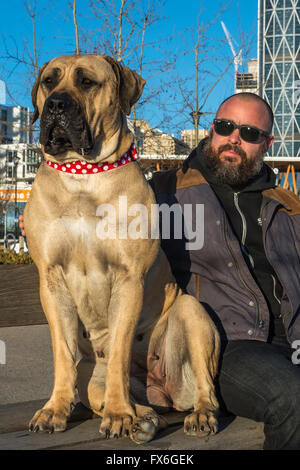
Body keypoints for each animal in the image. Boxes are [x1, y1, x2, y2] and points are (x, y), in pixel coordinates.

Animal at [24, 55, 220, 444]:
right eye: (49, 81)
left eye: (87, 82)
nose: (55, 105)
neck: (83, 175)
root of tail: (163, 390)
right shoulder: (51, 280)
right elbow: (62, 352)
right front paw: (56, 408)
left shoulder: (129, 278)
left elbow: (118, 349)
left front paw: (118, 414)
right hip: (96, 380)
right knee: (112, 392)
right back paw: (144, 416)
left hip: (192, 314)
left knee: (208, 390)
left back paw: (196, 415)